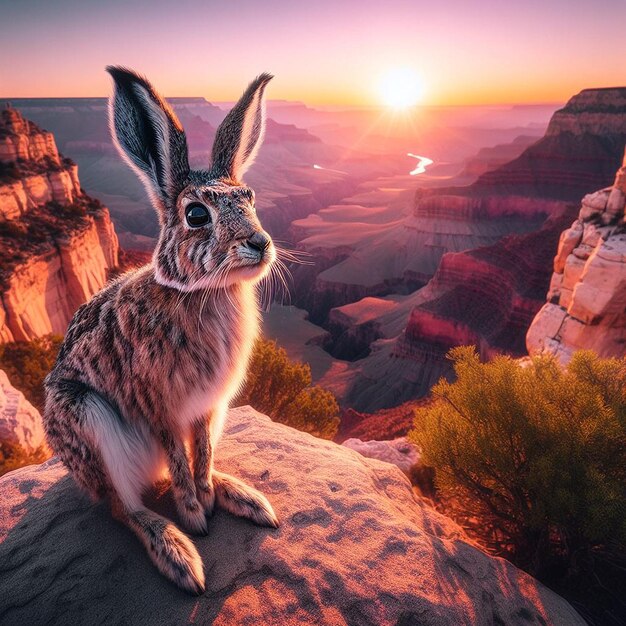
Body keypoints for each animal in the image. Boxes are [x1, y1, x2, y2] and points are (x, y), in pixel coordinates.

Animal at [41, 66, 278, 592]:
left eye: (250, 198)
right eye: (196, 215)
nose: (260, 243)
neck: (199, 293)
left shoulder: (208, 408)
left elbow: (202, 454)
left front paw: (210, 496)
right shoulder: (159, 406)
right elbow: (180, 463)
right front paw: (194, 516)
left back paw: (249, 499)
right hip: (88, 422)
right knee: (122, 506)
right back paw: (178, 555)